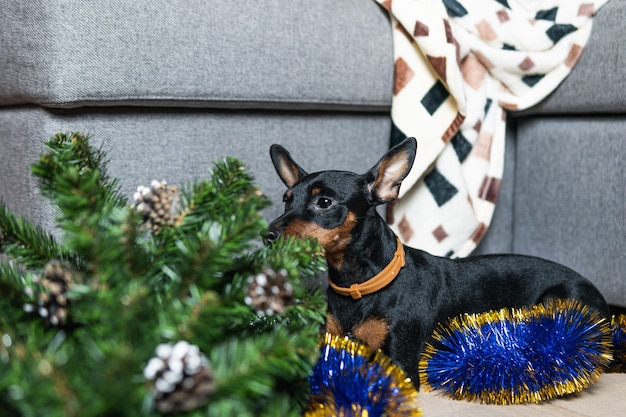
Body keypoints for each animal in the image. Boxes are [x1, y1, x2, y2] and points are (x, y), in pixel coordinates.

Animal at [266, 137, 608, 386]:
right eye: (286, 201)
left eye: (324, 202)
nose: (268, 234)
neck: (357, 285)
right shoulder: (330, 342)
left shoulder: (399, 364)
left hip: (558, 299)